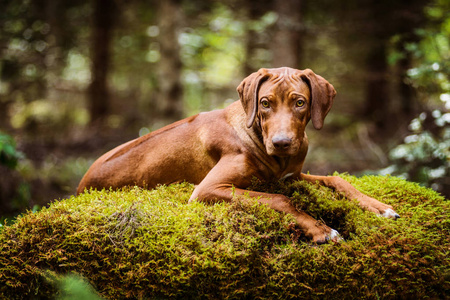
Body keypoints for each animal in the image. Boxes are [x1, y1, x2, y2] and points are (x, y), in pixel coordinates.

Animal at [79, 67, 400, 244]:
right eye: (265, 103)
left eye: (300, 103)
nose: (282, 143)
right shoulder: (207, 189)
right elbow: (280, 200)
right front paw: (320, 229)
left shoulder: (291, 175)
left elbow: (338, 181)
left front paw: (378, 206)